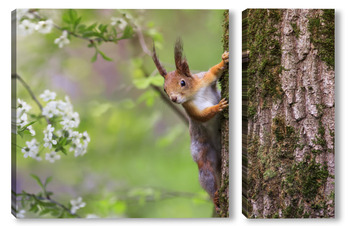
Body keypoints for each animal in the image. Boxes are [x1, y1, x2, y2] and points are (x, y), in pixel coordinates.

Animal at [151, 37, 228, 208]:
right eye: (165, 89)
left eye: (182, 82)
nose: (173, 99)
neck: (195, 94)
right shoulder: (191, 109)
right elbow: (203, 115)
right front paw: (217, 107)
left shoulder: (205, 80)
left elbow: (214, 71)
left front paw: (224, 59)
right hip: (203, 155)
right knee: (207, 175)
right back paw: (215, 196)